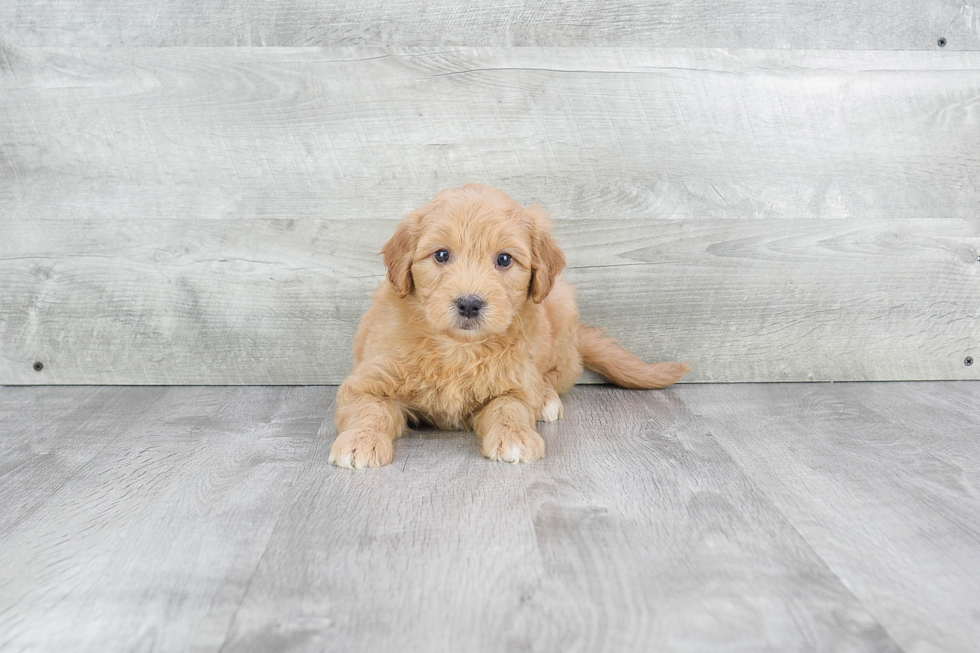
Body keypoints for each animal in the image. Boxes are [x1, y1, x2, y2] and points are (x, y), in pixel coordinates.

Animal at [330, 183, 688, 468]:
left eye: (504, 259)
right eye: (441, 255)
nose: (469, 304)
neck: (457, 348)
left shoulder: (512, 383)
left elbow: (509, 407)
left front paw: (515, 437)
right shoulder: (367, 380)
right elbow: (369, 409)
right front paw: (360, 441)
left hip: (560, 314)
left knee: (553, 376)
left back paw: (545, 398)